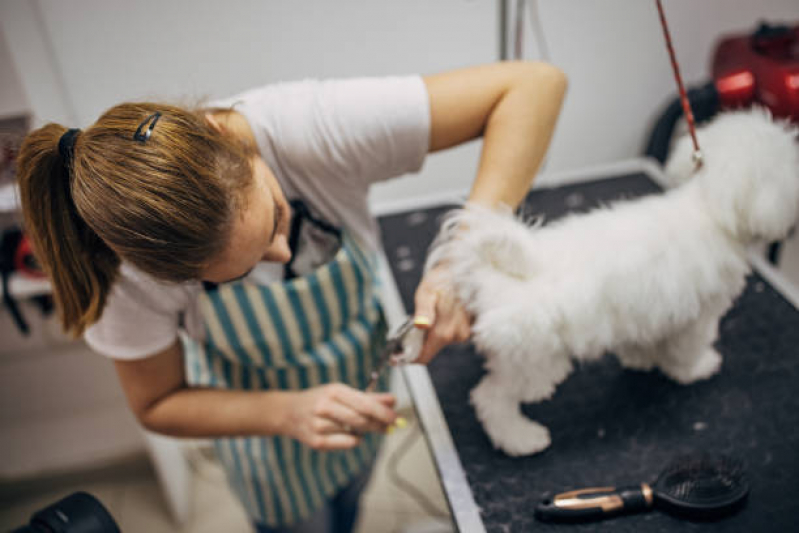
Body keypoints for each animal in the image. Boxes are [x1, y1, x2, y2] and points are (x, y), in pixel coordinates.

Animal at [424, 109, 799, 458]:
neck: (709, 205)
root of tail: (489, 271)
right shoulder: (700, 314)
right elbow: (687, 349)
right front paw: (696, 369)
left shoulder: (651, 311)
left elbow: (643, 339)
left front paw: (641, 359)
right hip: (534, 359)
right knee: (490, 398)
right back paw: (520, 439)